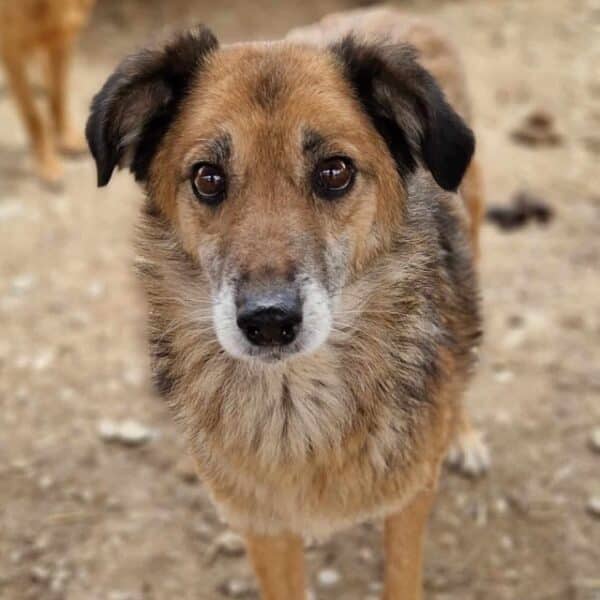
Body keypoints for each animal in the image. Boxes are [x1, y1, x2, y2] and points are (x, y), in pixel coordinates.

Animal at [0, 0, 95, 185]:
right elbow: (34, 117)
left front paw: (66, 138)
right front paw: (46, 163)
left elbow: (58, 96)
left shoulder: (62, 40)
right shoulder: (12, 51)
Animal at [86, 7, 486, 596]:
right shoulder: (263, 527)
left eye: (335, 171)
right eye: (207, 177)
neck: (293, 402)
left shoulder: (408, 502)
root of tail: (394, 12)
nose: (269, 321)